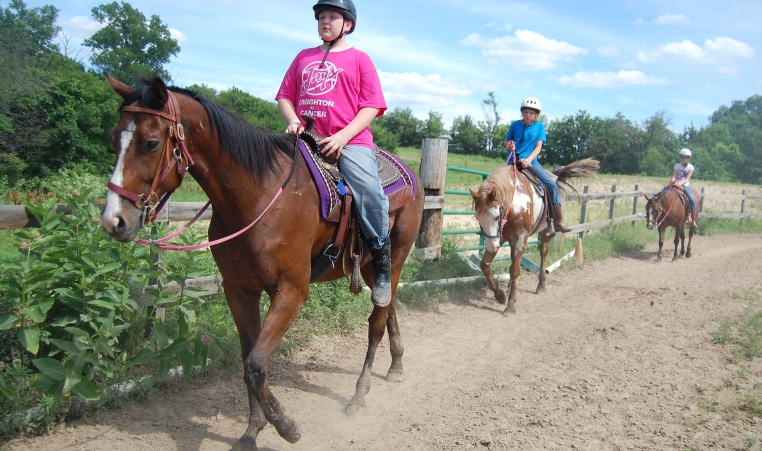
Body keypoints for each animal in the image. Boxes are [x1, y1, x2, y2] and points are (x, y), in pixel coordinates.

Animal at [98, 76, 424, 450]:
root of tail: (411, 175)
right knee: (388, 307)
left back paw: (358, 395)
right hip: (372, 269)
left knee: (375, 324)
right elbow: (247, 360)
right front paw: (252, 431)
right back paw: (396, 365)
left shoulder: (292, 292)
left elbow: (255, 364)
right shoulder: (239, 290)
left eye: (151, 143)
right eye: (114, 139)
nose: (113, 221)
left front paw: (286, 425)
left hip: (393, 259)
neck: (258, 195)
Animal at [466, 161, 596, 316]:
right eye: (478, 218)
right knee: (513, 261)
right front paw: (500, 295)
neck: (516, 201)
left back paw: (541, 285)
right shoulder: (500, 237)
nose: (492, 247)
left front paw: (510, 305)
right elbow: (485, 265)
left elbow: (515, 270)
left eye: (497, 216)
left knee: (543, 254)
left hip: (545, 232)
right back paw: (509, 289)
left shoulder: (521, 236)